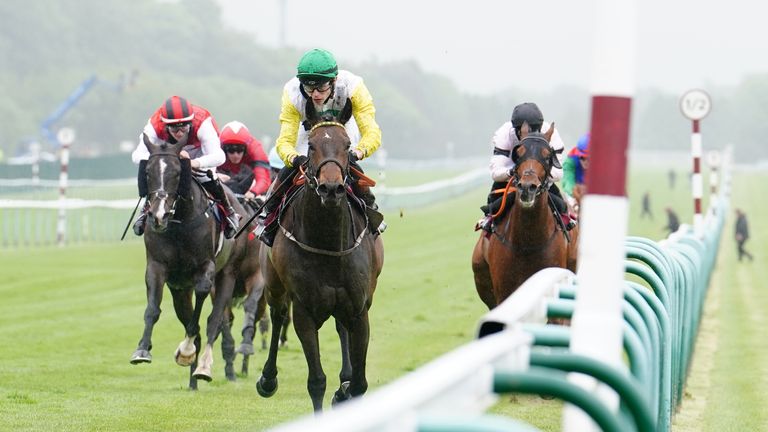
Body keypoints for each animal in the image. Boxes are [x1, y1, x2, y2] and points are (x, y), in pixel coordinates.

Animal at [255, 108, 384, 412]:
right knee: (278, 316)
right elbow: (316, 381)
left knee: (340, 327)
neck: (329, 243)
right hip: (274, 286)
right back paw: (267, 379)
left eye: (347, 146)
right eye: (311, 146)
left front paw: (345, 388)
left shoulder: (359, 309)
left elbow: (359, 384)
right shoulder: (305, 310)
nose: (331, 188)